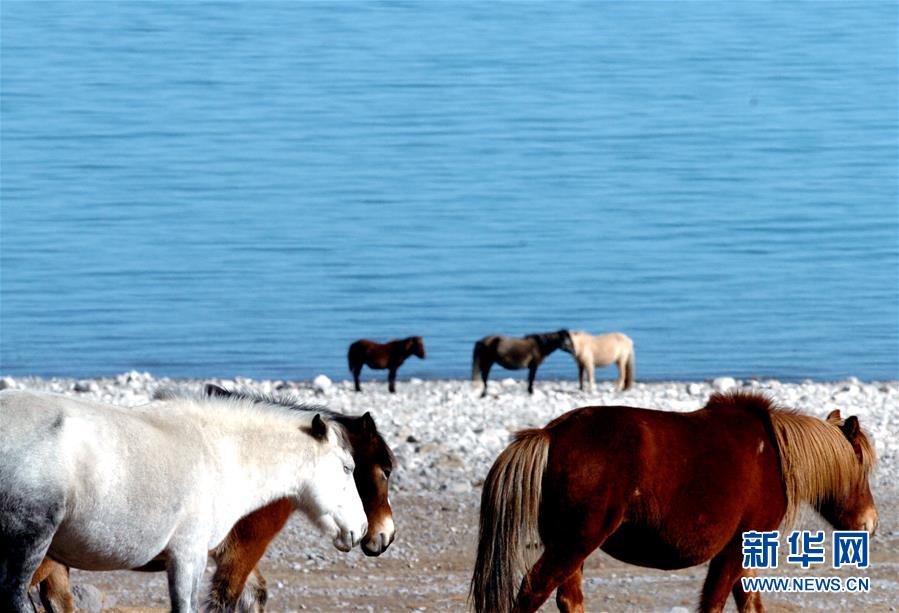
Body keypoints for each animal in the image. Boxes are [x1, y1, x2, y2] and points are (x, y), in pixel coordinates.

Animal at [472, 392, 880, 612]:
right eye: (861, 467)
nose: (870, 523)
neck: (776, 456)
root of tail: (551, 434)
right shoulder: (735, 549)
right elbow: (714, 602)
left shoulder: (743, 553)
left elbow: (750, 603)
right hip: (575, 543)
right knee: (532, 590)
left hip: (569, 547)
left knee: (568, 599)